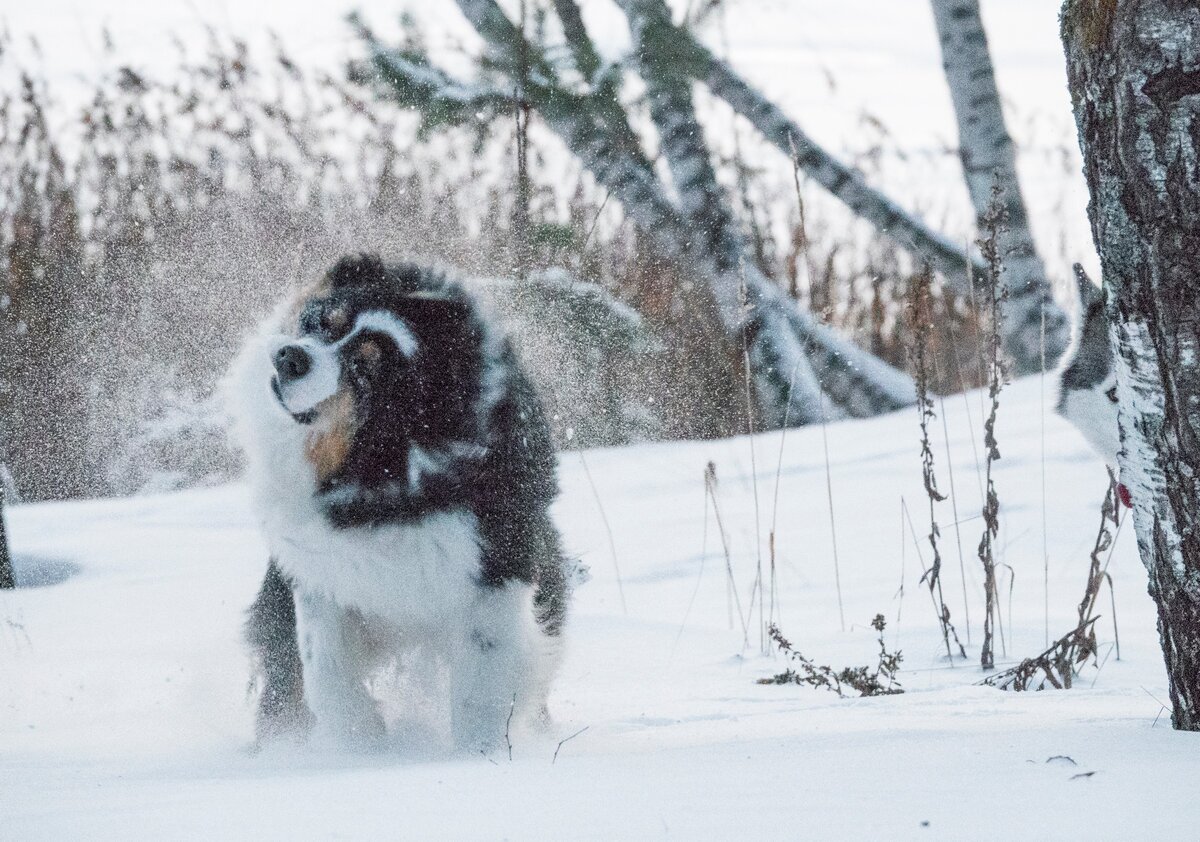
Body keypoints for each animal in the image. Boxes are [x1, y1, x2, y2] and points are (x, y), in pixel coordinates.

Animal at [230, 255, 576, 753]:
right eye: (324, 322)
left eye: (364, 370)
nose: (289, 357)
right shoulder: (322, 567)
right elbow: (325, 668)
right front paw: (361, 746)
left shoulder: (493, 565)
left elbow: (483, 683)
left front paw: (479, 755)